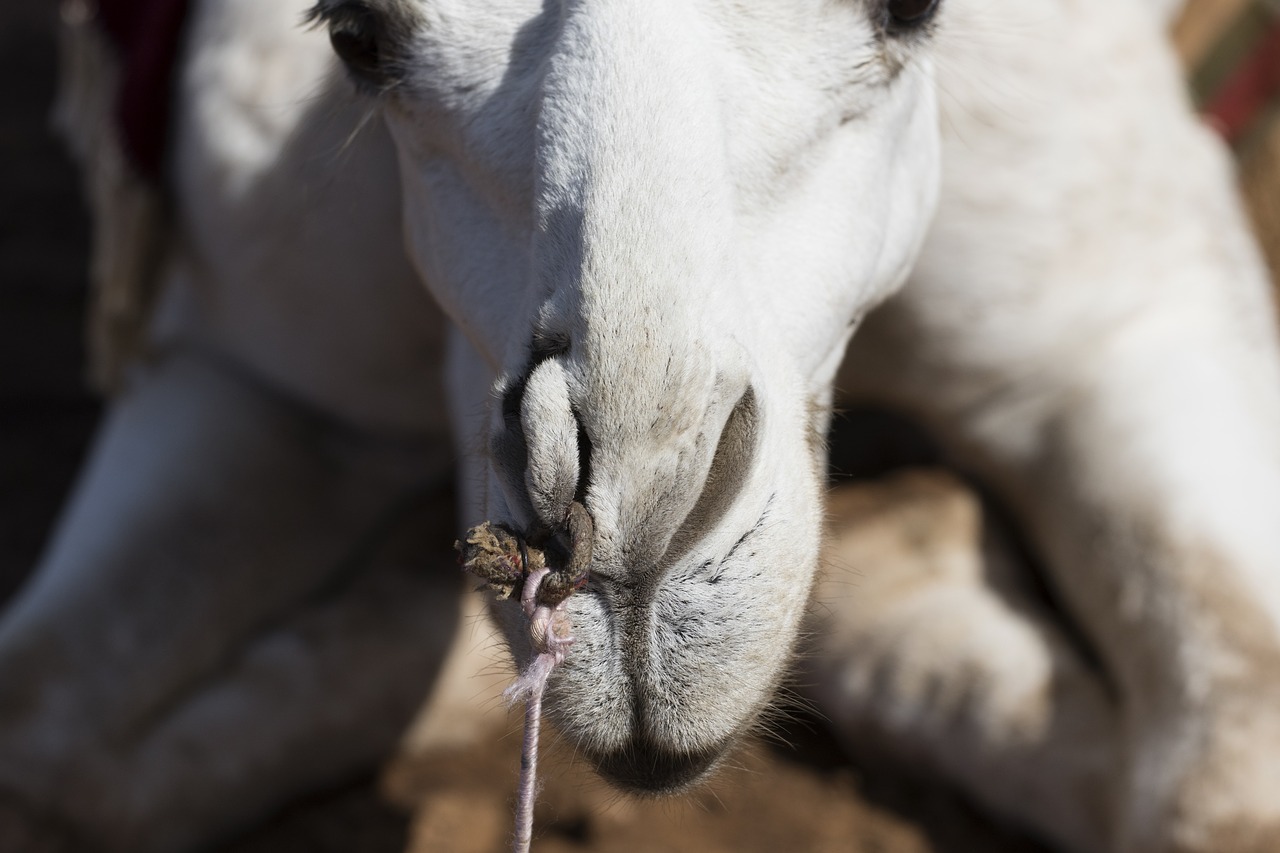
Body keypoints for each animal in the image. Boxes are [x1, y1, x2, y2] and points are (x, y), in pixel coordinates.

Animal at [0, 0, 1274, 845]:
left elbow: (1227, 777)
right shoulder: (267, 372)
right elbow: (46, 723)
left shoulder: (1126, 316)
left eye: (909, 1)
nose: (623, 547)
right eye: (359, 35)